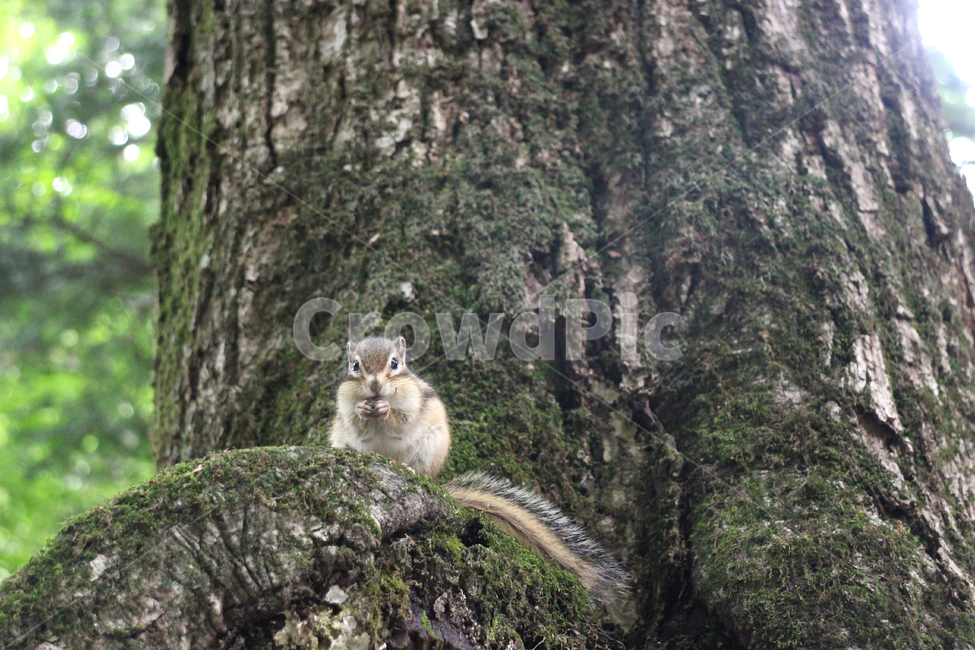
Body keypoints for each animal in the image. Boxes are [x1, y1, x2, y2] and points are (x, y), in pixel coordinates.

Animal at [329, 336, 629, 602]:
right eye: (355, 366)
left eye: (394, 363)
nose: (375, 385)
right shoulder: (344, 409)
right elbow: (357, 422)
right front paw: (364, 408)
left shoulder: (413, 403)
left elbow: (399, 420)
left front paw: (383, 408)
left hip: (430, 449)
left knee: (421, 473)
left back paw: (408, 470)